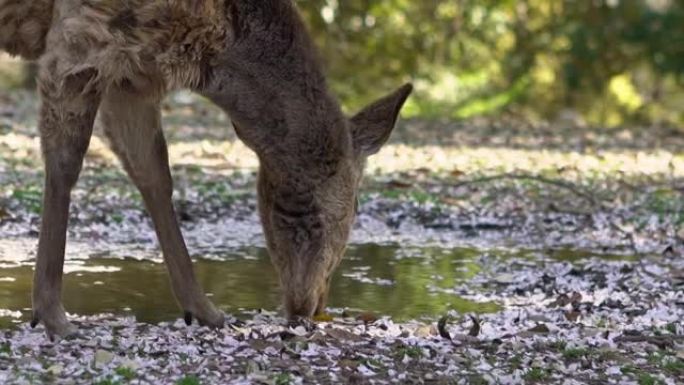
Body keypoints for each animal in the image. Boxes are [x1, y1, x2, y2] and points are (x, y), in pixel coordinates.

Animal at [0, 0, 412, 338]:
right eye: (356, 207)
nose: (311, 308)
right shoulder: (81, 36)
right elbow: (65, 162)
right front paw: (52, 315)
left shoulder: (132, 77)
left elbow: (153, 173)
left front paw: (206, 311)